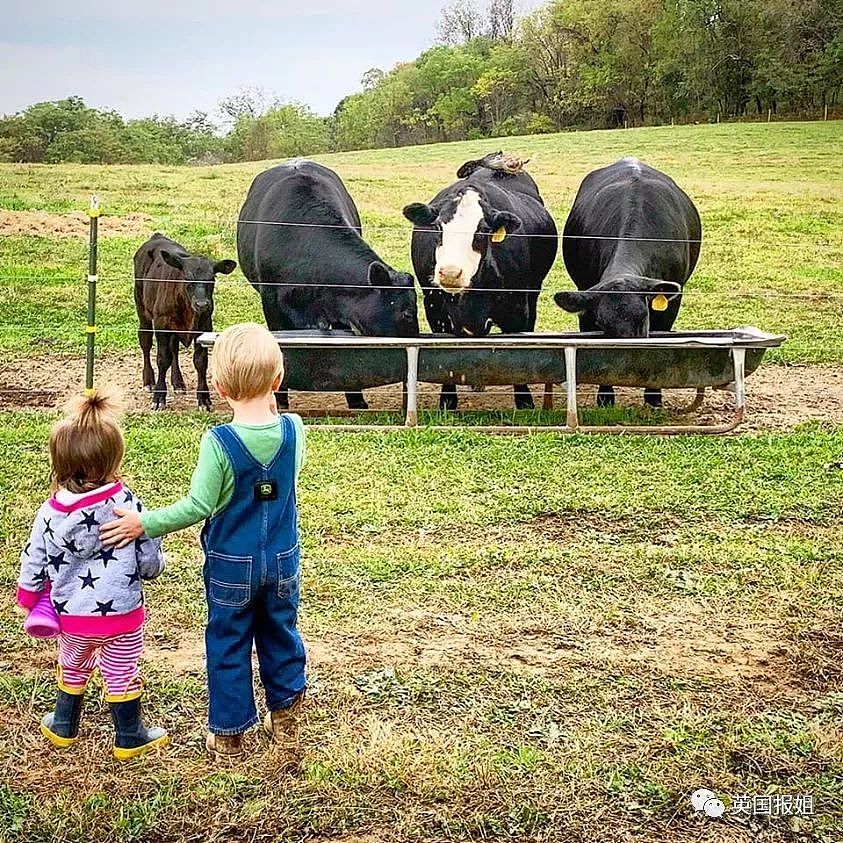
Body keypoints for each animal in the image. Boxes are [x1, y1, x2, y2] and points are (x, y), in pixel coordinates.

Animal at [134, 234, 236, 412]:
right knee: (145, 342)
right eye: (187, 278)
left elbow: (200, 361)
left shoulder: (204, 325)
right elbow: (163, 359)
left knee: (174, 349)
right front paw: (159, 397)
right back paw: (148, 381)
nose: (202, 304)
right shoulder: (161, 324)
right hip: (142, 310)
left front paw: (204, 399)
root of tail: (156, 237)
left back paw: (178, 382)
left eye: (212, 279)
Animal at [404, 156, 560, 416]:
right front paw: (447, 401)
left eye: (482, 230)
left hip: (533, 294)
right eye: (438, 227)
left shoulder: (517, 310)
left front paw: (524, 401)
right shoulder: (435, 310)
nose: (450, 273)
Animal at [556, 161, 704, 408]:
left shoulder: (671, 304)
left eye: (643, 316)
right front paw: (605, 397)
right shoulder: (586, 298)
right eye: (601, 322)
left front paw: (654, 398)